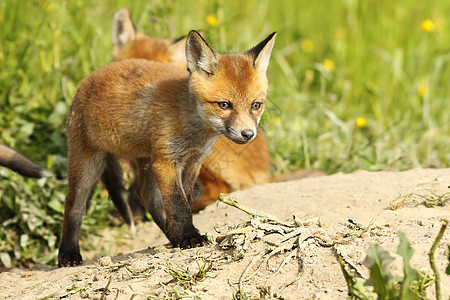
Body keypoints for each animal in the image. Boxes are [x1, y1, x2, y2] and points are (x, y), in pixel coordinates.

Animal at [59, 29, 278, 266]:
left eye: (256, 105)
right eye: (224, 105)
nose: (248, 134)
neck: (191, 125)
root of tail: (89, 77)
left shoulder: (193, 162)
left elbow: (183, 200)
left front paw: (182, 235)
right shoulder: (167, 161)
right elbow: (178, 203)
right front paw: (189, 237)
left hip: (146, 159)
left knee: (145, 194)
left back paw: (171, 236)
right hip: (87, 163)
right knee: (73, 205)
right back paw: (68, 254)